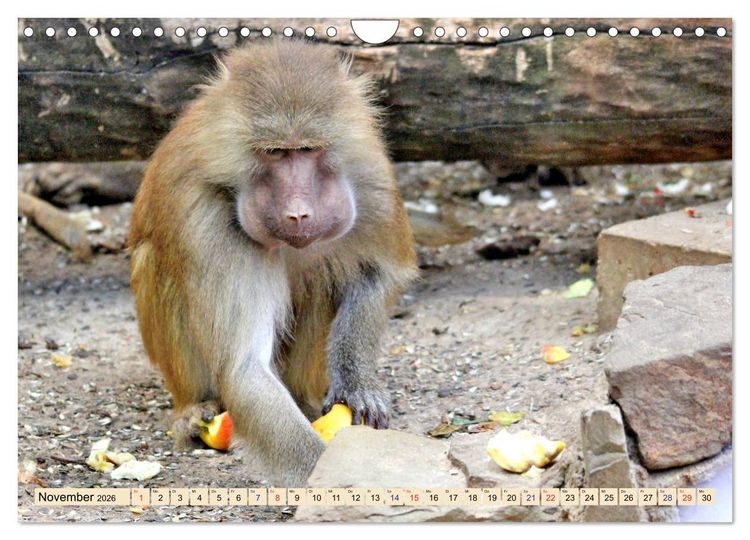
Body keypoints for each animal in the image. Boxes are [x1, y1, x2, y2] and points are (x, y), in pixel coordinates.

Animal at [128, 40, 418, 487]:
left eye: (309, 149)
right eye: (276, 152)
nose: (298, 214)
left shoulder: (370, 178)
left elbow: (378, 275)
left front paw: (357, 387)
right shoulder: (206, 217)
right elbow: (245, 370)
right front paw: (329, 477)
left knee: (323, 279)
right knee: (155, 261)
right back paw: (194, 411)